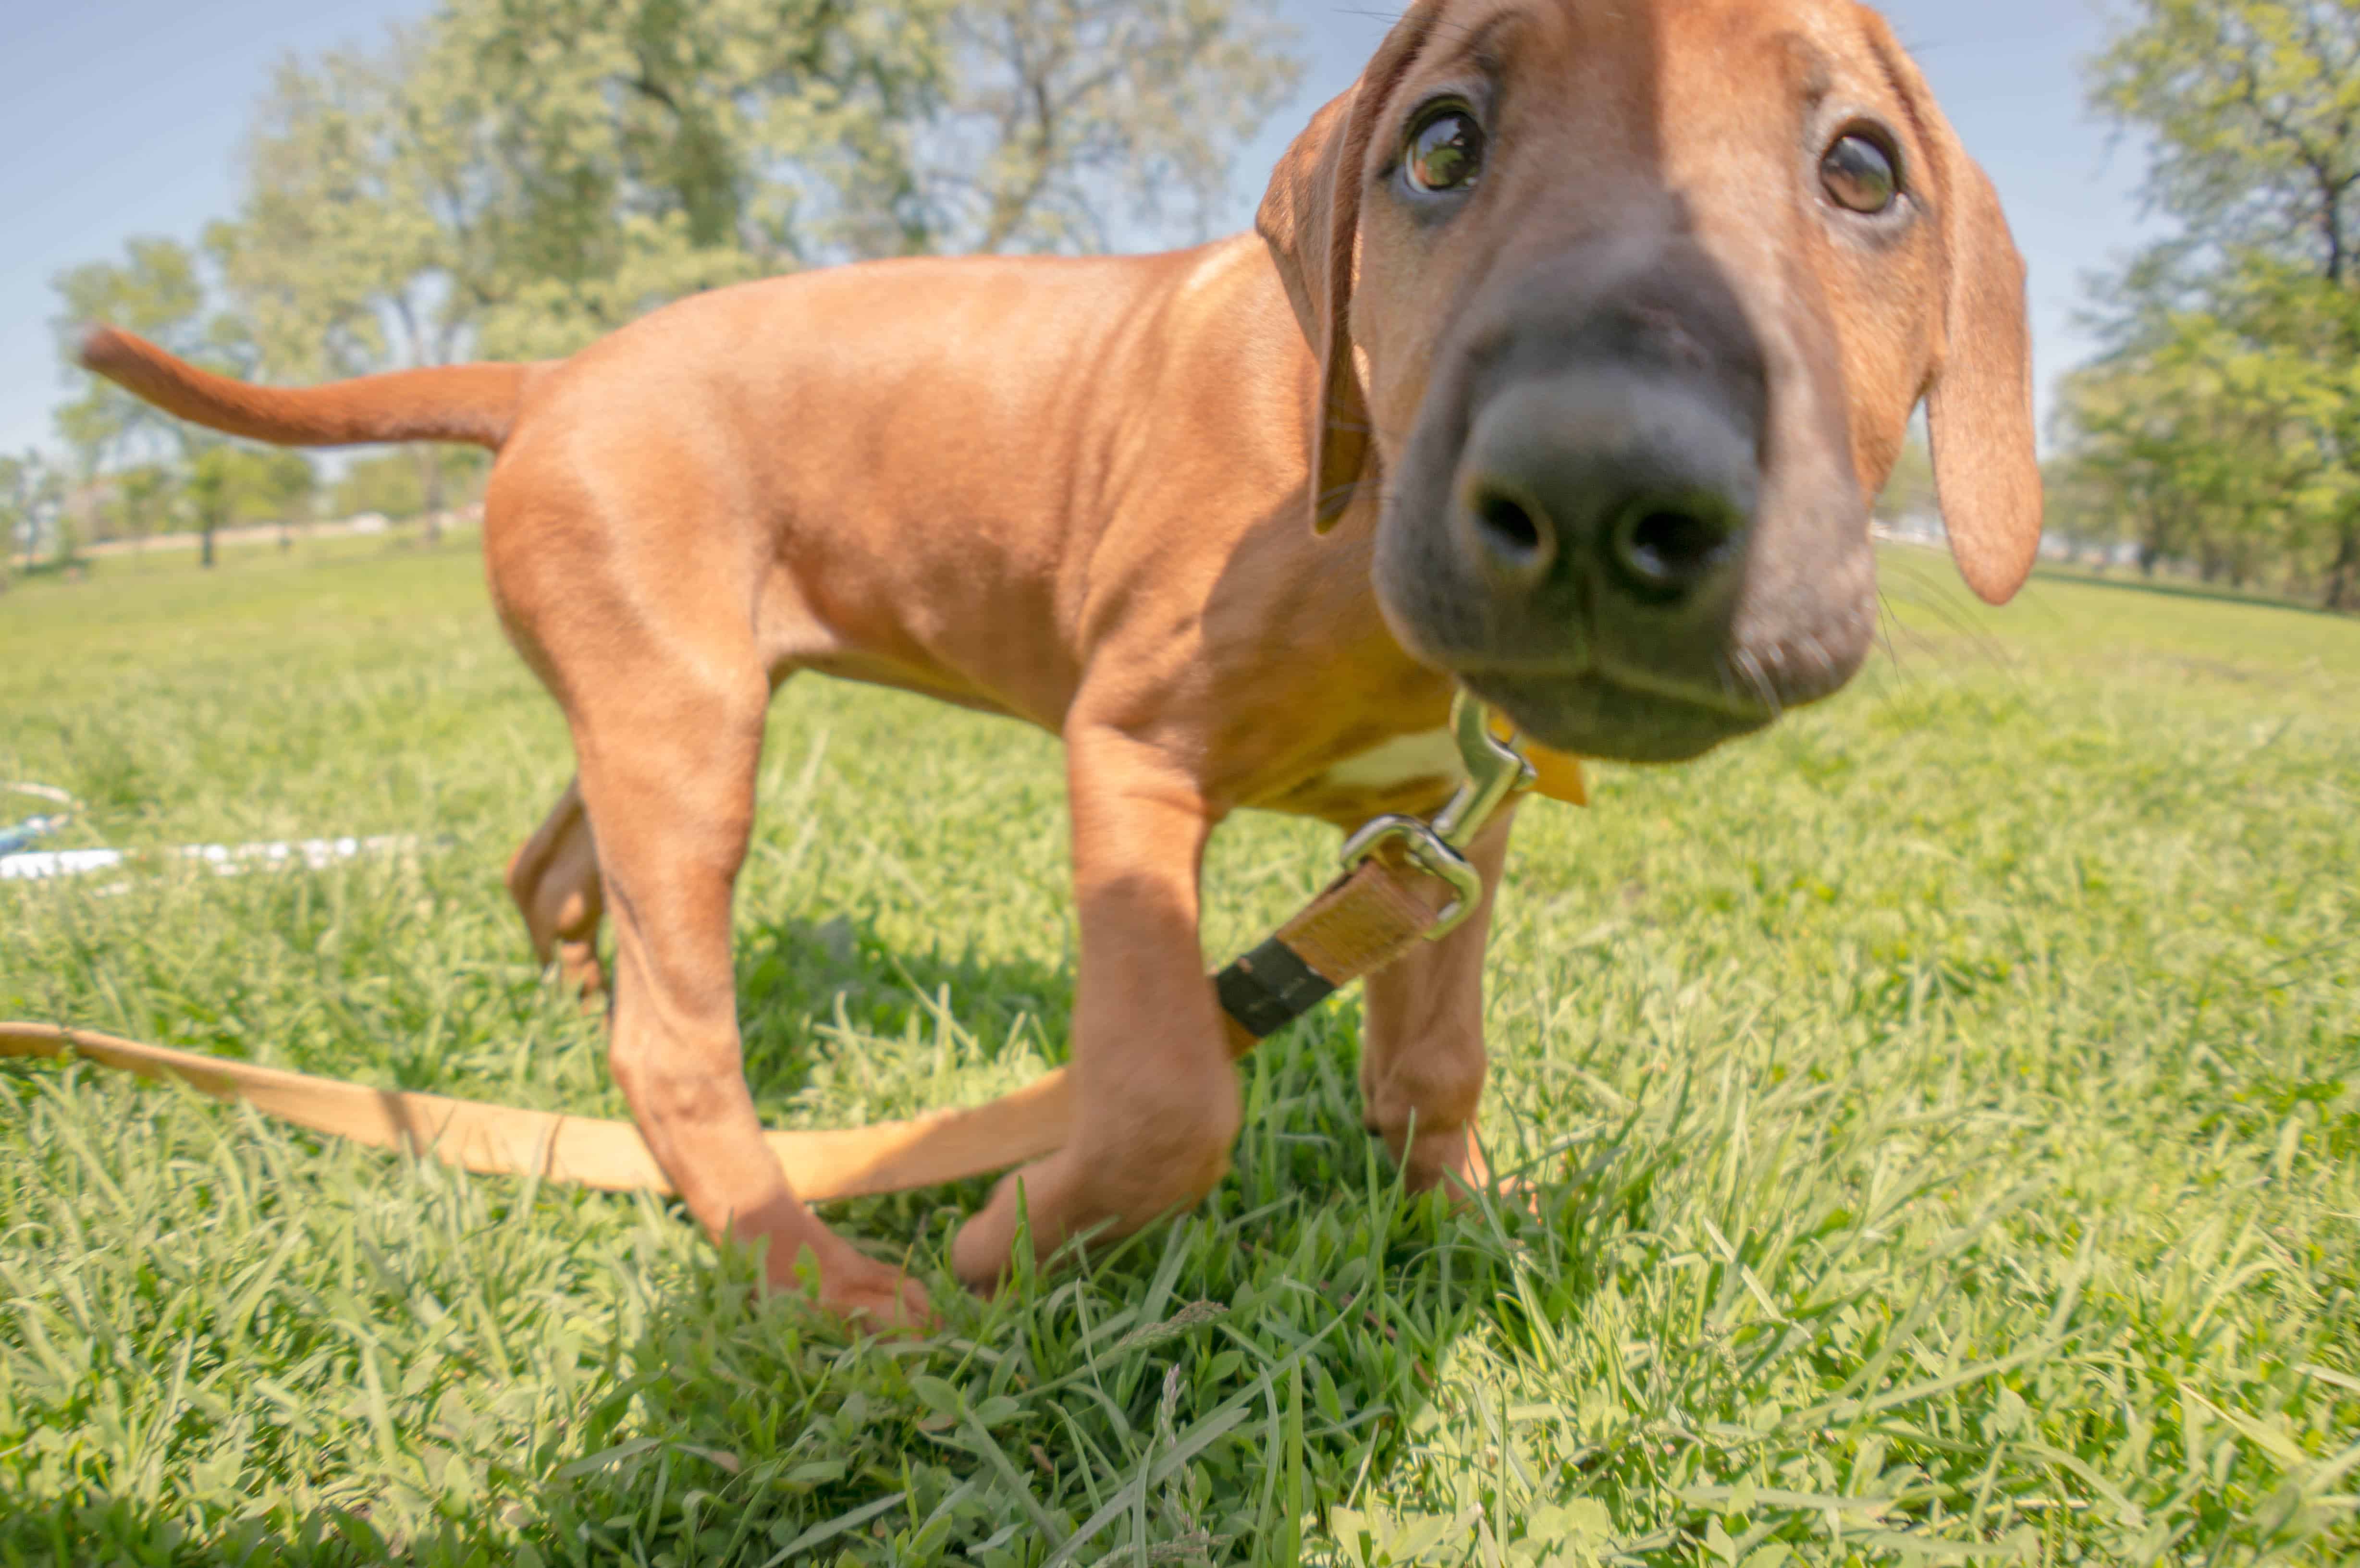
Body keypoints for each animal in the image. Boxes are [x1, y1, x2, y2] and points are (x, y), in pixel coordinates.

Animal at [83, 0, 2048, 1332]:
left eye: (1860, 170)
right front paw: (1006, 1238)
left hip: (652, 693)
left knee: (553, 867)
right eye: (1435, 145)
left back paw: (570, 1018)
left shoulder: (1447, 826)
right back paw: (822, 1277)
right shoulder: (1130, 758)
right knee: (676, 1037)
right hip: (687, 735)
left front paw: (1460, 1216)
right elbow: (1173, 1092)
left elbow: (1437, 1058)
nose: (1597, 482)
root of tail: (553, 374)